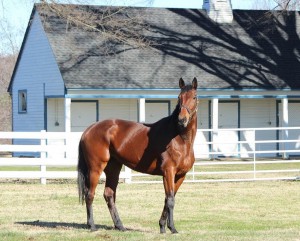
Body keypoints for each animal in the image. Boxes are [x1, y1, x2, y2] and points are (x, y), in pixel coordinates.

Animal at [78, 77, 198, 233]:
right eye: (179, 97)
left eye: (194, 97)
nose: (182, 119)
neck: (179, 138)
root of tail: (90, 129)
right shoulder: (168, 172)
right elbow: (171, 199)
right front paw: (172, 228)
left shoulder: (180, 175)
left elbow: (168, 199)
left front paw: (163, 226)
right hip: (95, 168)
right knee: (90, 194)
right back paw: (92, 225)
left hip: (113, 168)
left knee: (109, 194)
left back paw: (120, 226)